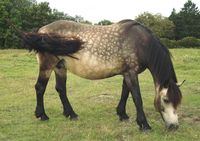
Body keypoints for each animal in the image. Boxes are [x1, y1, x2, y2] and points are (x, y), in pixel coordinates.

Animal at [18, 19, 183, 131]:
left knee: (61, 89)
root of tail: (41, 30)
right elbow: (137, 98)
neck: (140, 43)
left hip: (60, 67)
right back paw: (42, 115)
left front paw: (122, 114)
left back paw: (71, 114)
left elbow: (125, 93)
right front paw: (144, 124)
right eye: (166, 100)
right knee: (40, 87)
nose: (174, 126)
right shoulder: (131, 73)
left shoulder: (127, 73)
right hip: (47, 66)